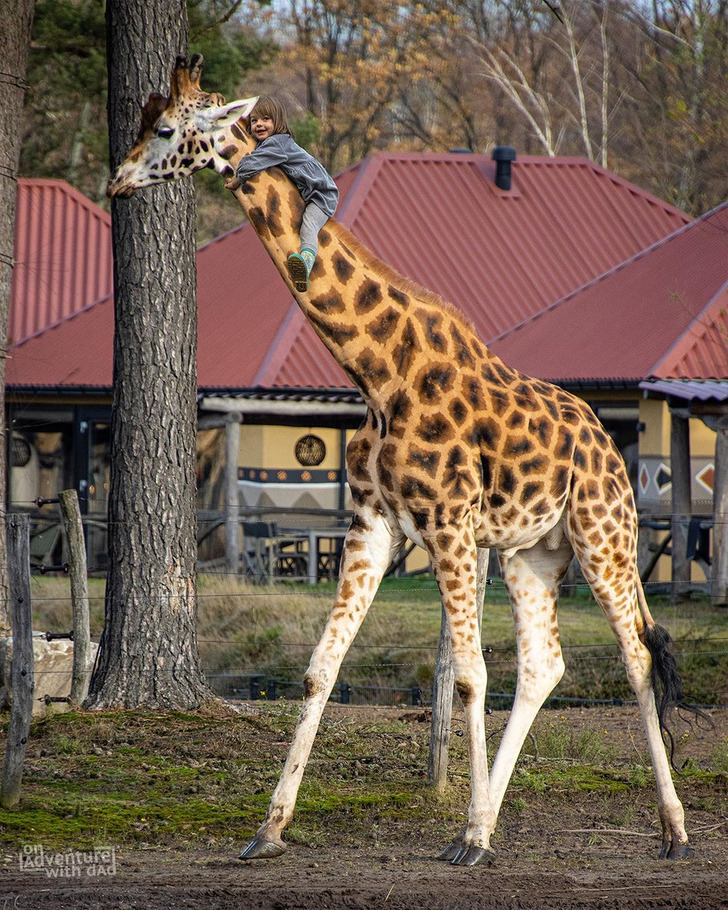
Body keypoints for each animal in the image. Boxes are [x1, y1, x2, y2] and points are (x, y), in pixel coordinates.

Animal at [106, 57, 700, 868]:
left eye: (166, 129)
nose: (117, 181)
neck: (379, 374)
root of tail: (610, 446)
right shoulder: (373, 526)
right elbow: (322, 668)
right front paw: (269, 829)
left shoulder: (448, 526)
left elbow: (470, 677)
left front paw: (471, 840)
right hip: (532, 553)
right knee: (545, 665)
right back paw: (496, 815)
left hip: (604, 538)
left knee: (637, 655)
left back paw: (670, 829)